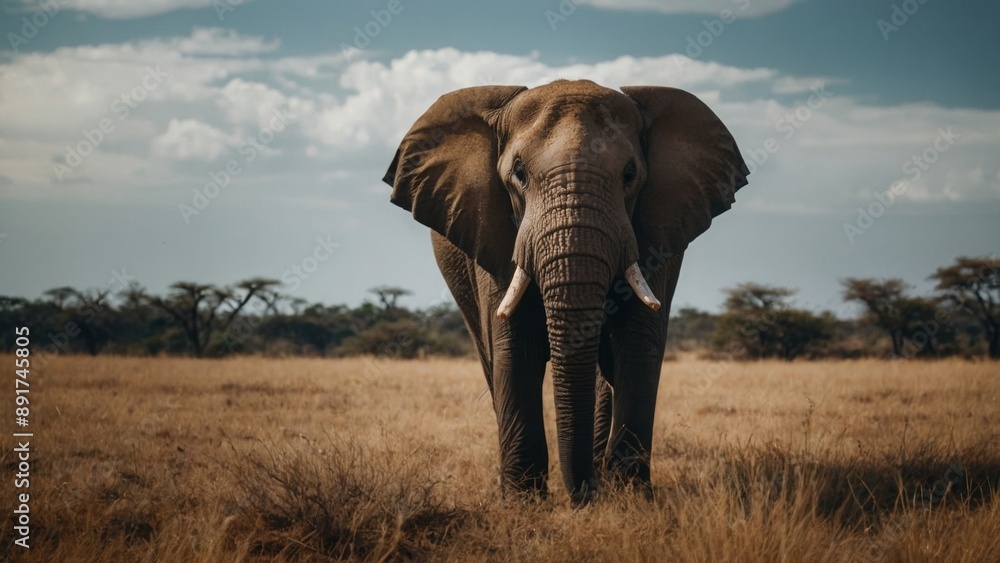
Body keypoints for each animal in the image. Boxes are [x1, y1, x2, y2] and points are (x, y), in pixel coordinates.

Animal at [383, 80, 749, 506]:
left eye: (629, 175)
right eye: (519, 174)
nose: (581, 498)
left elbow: (636, 345)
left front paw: (631, 501)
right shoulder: (491, 231)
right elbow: (515, 348)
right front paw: (523, 507)